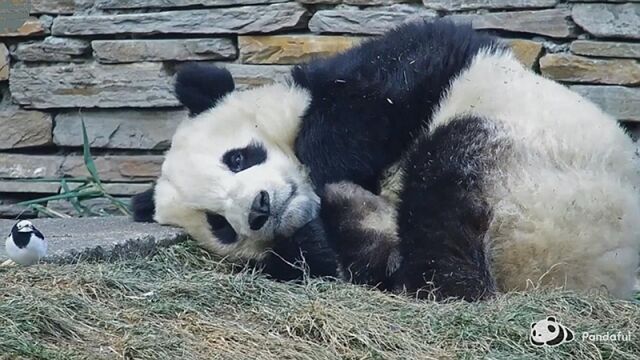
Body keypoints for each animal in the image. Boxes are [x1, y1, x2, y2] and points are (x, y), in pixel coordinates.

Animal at [131, 19, 640, 300]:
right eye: (219, 224)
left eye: (237, 157)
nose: (259, 209)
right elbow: (322, 261)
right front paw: (328, 224)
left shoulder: (433, 66)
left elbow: (401, 72)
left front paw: (325, 164)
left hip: (554, 178)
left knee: (443, 166)